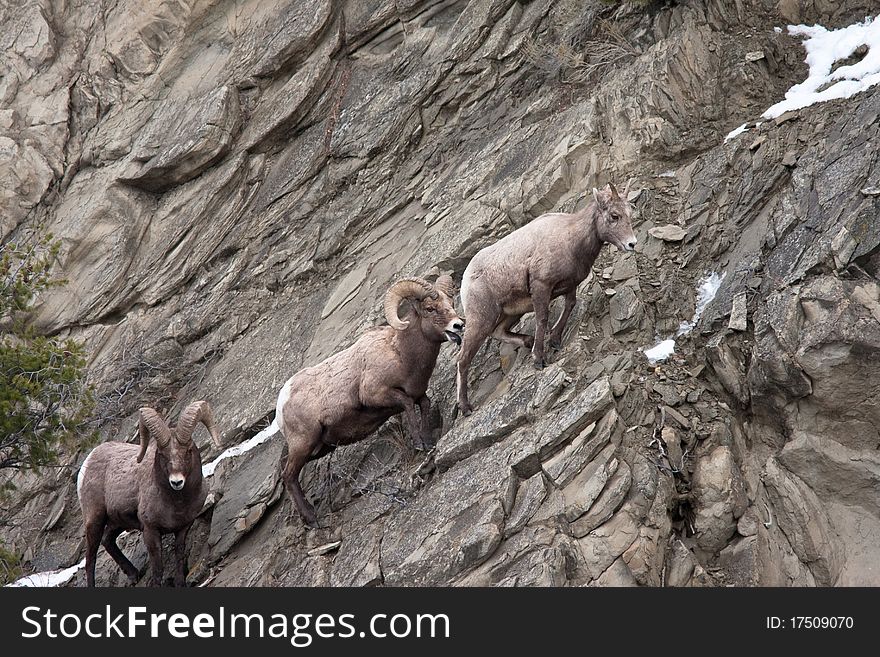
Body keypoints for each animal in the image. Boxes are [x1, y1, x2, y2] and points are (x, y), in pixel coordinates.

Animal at [75, 402, 223, 588]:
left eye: (188, 450)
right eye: (161, 453)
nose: (176, 482)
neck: (177, 504)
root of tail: (89, 460)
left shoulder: (183, 527)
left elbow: (179, 554)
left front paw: (180, 583)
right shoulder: (151, 531)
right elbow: (157, 566)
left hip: (117, 522)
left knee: (107, 540)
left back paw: (133, 575)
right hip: (95, 520)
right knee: (90, 559)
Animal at [276, 274, 464, 524]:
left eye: (450, 303)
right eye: (430, 308)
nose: (458, 325)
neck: (401, 354)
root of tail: (282, 400)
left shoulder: (418, 393)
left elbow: (424, 405)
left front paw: (428, 442)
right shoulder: (378, 394)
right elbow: (407, 405)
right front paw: (419, 443)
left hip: (318, 447)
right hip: (303, 443)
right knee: (289, 476)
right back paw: (313, 519)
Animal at [458, 181, 636, 416]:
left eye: (630, 213)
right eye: (614, 215)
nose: (632, 244)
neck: (571, 238)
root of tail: (466, 278)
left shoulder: (570, 285)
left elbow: (570, 306)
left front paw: (555, 340)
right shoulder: (541, 286)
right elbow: (543, 319)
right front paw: (539, 359)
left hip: (511, 312)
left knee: (498, 332)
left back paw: (527, 340)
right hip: (481, 319)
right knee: (463, 359)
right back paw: (465, 407)